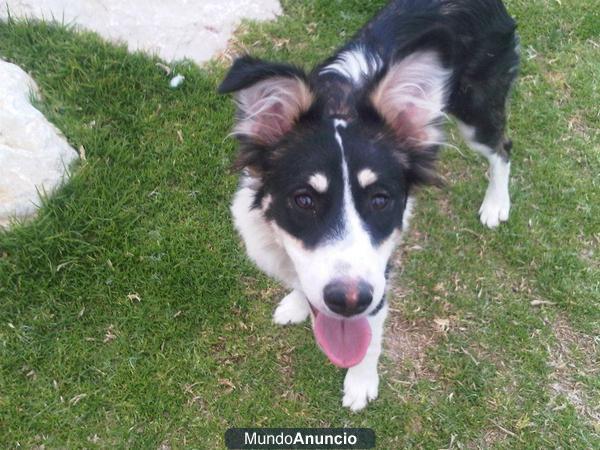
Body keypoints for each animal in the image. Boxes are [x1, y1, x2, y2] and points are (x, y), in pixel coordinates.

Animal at [218, 0, 516, 412]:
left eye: (380, 200)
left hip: (477, 109)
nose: (349, 301)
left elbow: (370, 335)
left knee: (503, 148)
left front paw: (360, 382)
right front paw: (297, 304)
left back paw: (495, 204)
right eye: (304, 199)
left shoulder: (379, 275)